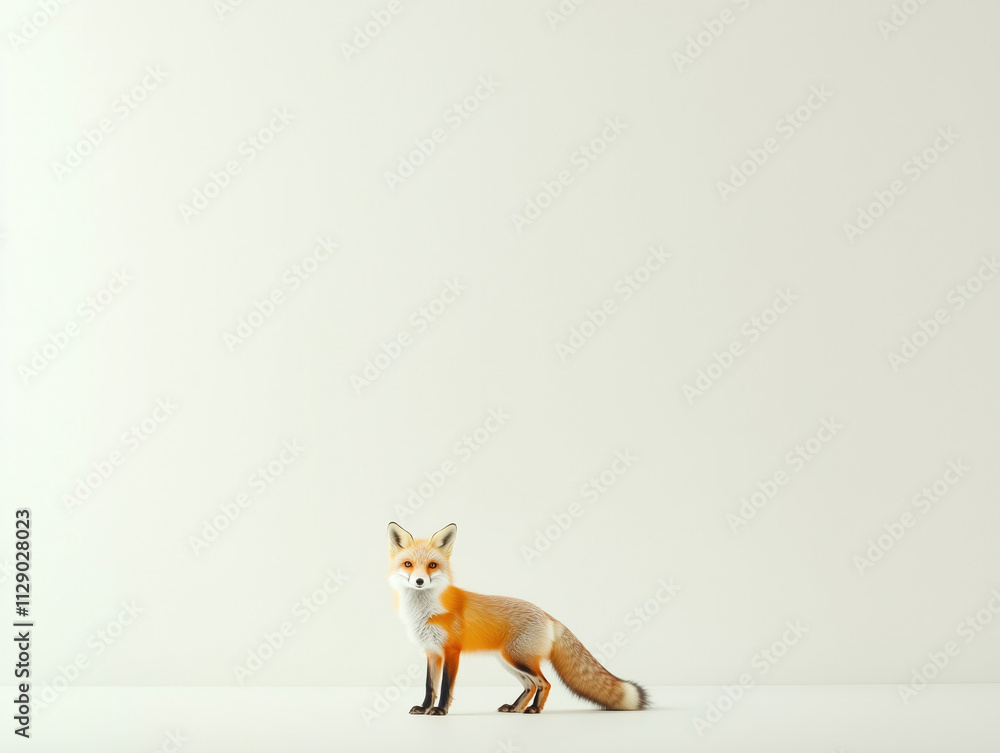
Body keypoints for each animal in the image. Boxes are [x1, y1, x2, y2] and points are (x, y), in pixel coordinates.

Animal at [386, 521, 649, 715]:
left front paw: (440, 711)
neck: (425, 611)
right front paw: (424, 708)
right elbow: (429, 686)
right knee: (531, 685)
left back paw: (534, 710)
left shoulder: (451, 651)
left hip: (517, 658)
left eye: (432, 565)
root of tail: (548, 615)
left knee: (544, 683)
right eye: (408, 564)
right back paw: (515, 708)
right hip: (509, 661)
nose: (419, 581)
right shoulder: (432, 652)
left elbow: (444, 687)